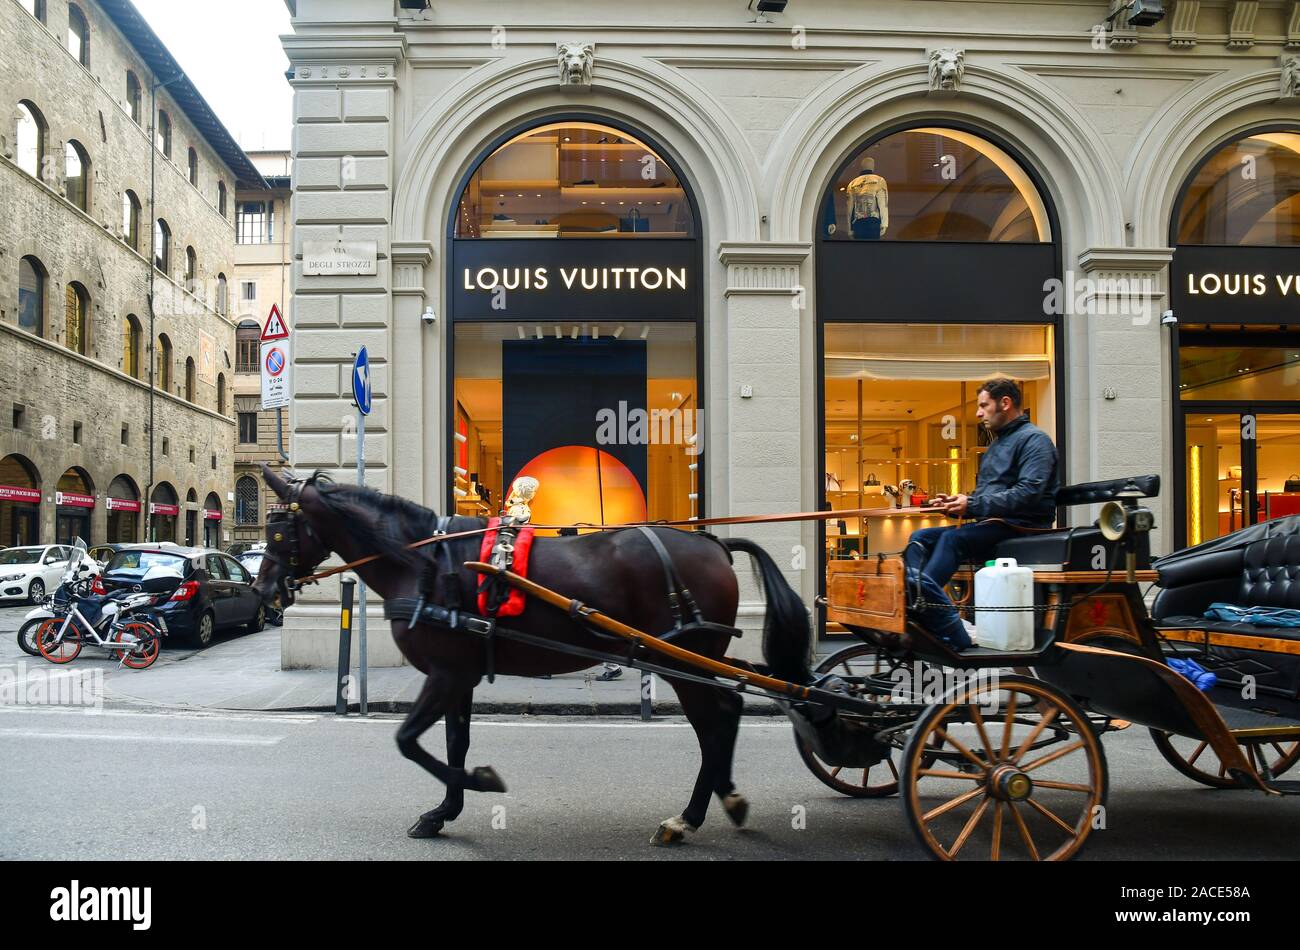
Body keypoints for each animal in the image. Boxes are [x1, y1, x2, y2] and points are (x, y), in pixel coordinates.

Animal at [252, 465, 811, 842]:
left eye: (277, 530)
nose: (262, 590)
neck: (423, 563)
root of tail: (714, 544)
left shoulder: (445, 673)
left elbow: (409, 741)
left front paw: (478, 782)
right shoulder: (460, 674)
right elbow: (454, 742)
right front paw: (444, 810)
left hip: (679, 660)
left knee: (716, 722)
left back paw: (690, 816)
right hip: (695, 659)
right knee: (729, 710)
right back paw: (724, 798)